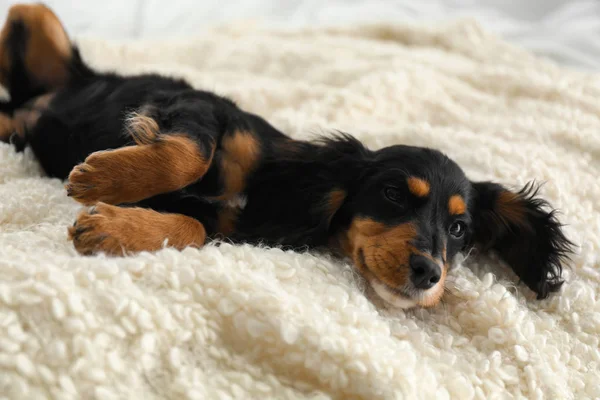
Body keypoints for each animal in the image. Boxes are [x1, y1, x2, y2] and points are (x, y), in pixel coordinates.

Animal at [0, 3, 572, 310]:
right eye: (391, 194)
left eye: (459, 230)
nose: (429, 274)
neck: (280, 186)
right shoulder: (198, 106)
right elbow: (187, 157)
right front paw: (100, 178)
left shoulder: (229, 228)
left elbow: (191, 227)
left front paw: (110, 228)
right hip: (35, 19)